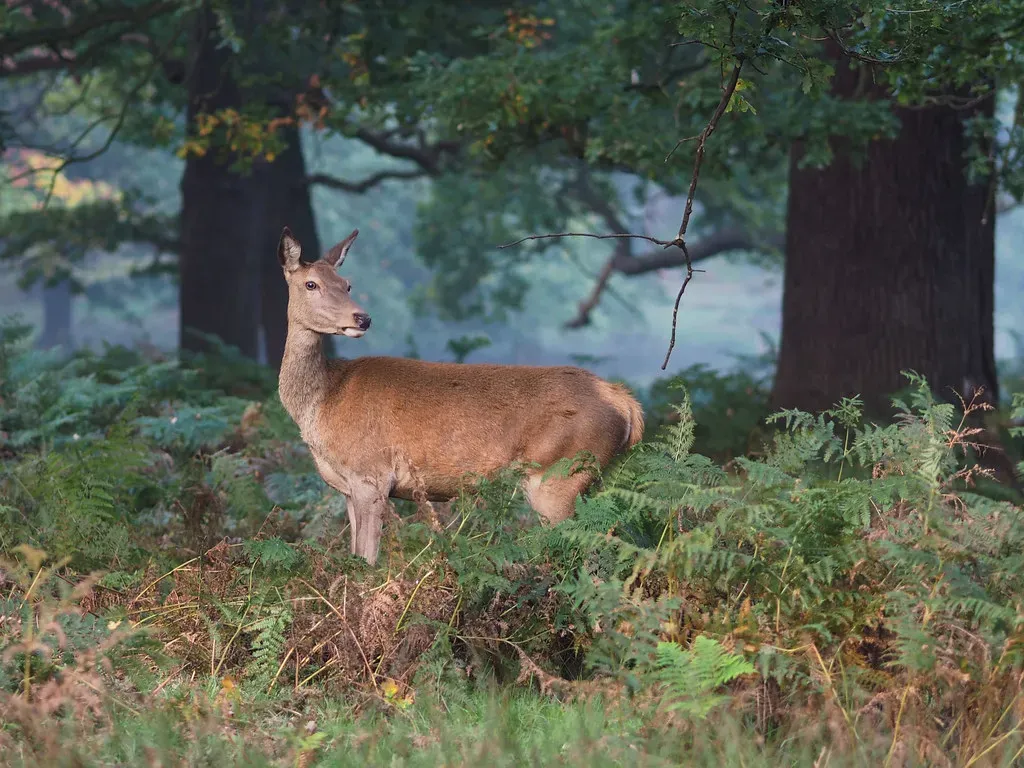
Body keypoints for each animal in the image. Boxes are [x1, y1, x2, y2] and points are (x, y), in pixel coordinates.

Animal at [275, 225, 644, 565]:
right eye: (311, 284)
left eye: (347, 284)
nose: (362, 318)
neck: (322, 402)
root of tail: (624, 401)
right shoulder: (349, 490)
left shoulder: (371, 474)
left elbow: (367, 561)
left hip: (558, 475)